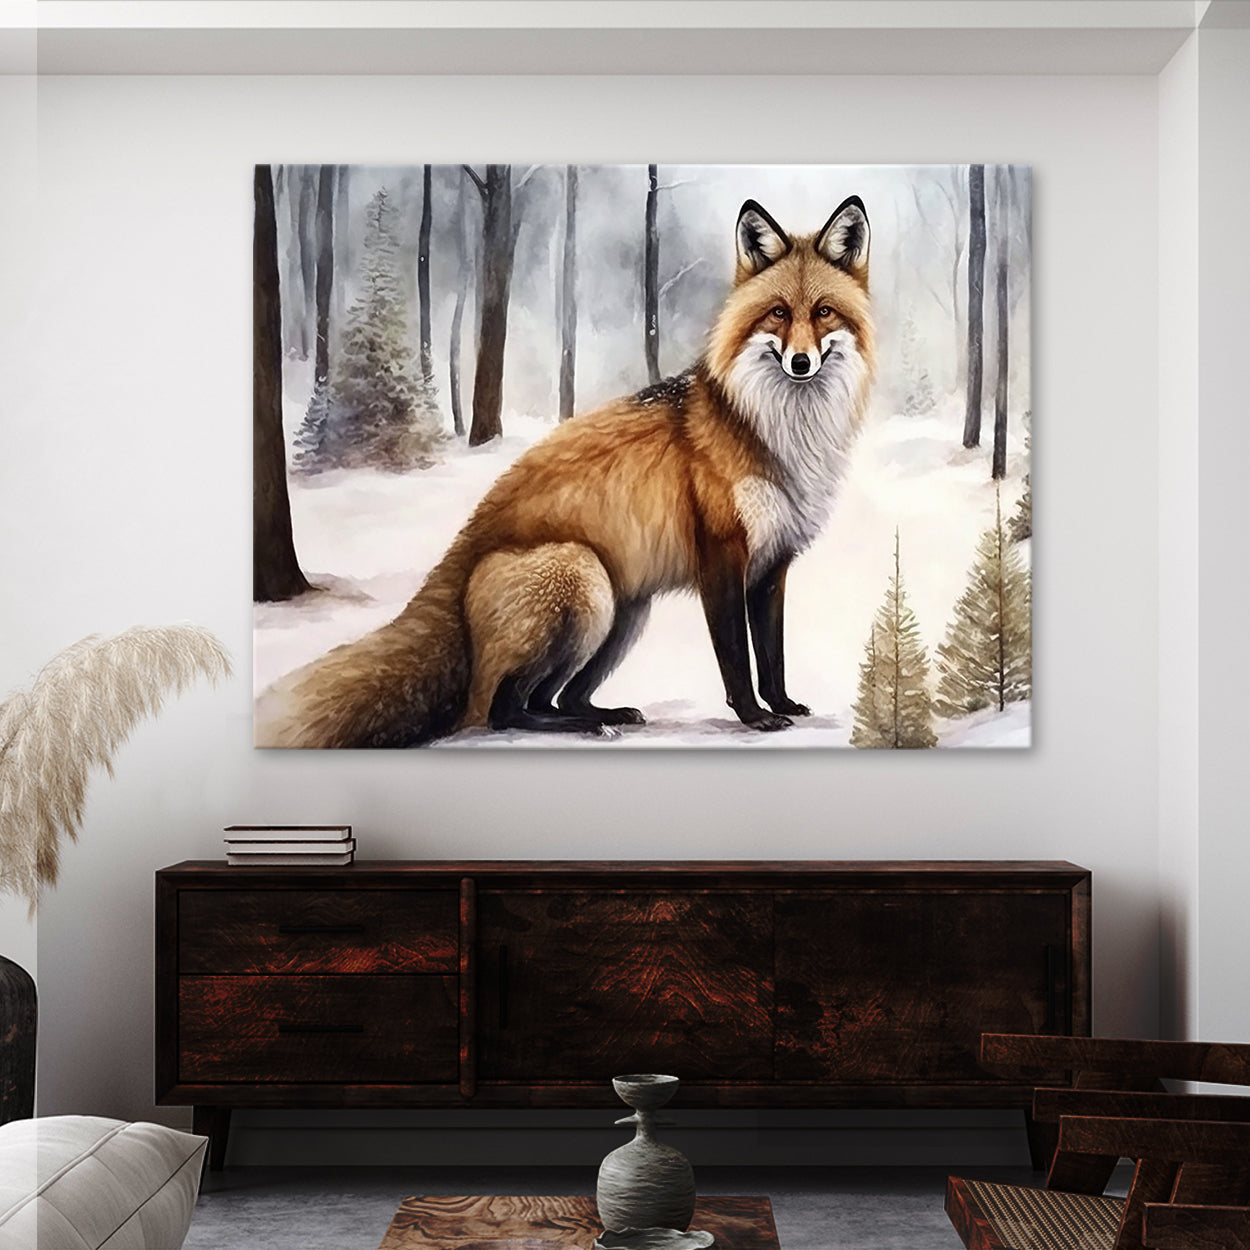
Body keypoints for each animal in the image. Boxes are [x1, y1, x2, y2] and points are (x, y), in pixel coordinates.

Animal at [256, 194, 874, 747]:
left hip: (625, 611)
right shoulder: (721, 557)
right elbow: (736, 659)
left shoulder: (772, 564)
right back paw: (582, 726)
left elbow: (772, 654)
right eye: (778, 313)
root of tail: (462, 551)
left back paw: (608, 712)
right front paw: (754, 717)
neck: (777, 432)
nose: (801, 362)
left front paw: (783, 704)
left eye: (823, 312)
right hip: (583, 579)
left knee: (556, 696)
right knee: (502, 709)